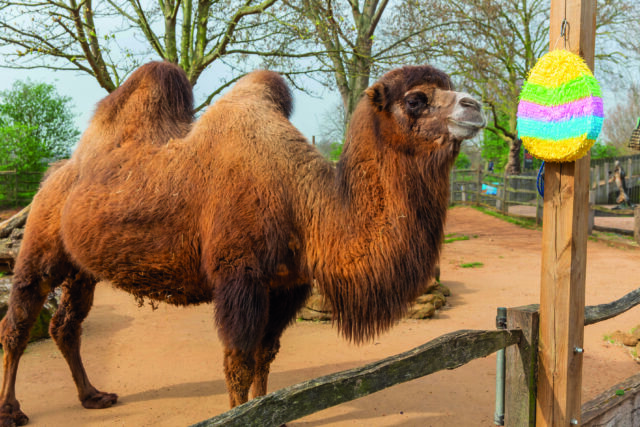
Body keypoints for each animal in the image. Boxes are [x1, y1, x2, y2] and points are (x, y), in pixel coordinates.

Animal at [0, 61, 485, 425]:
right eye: (416, 99)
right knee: (19, 321)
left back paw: (93, 395)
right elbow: (238, 363)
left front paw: (268, 411)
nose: (475, 105)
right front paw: (239, 414)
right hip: (41, 243)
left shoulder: (287, 285)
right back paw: (13, 410)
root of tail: (55, 173)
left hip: (83, 267)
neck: (303, 202)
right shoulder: (240, 276)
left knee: (66, 325)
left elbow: (266, 356)